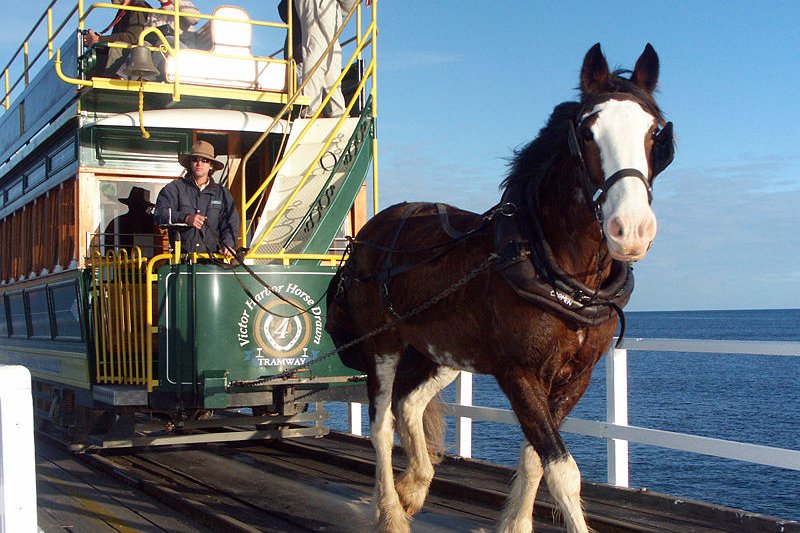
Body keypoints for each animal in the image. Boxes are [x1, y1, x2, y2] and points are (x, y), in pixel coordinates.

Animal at [326, 42, 676, 532]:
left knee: (409, 405)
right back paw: (392, 513)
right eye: (588, 132)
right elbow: (563, 471)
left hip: (441, 352)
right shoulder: (519, 373)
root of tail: (365, 237)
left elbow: (535, 458)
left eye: (655, 133)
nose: (632, 229)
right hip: (384, 347)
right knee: (380, 425)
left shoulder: (576, 378)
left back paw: (414, 486)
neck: (554, 265)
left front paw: (515, 523)